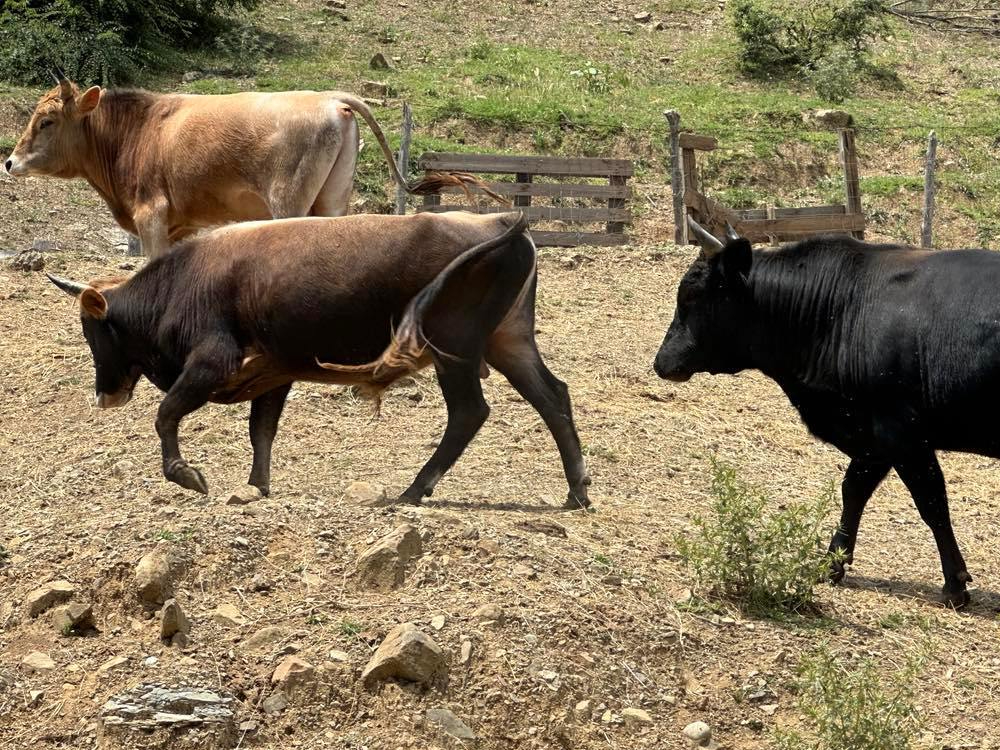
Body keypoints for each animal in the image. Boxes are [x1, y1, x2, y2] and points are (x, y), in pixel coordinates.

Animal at [4, 75, 418, 260]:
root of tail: (329, 98)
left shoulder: (151, 215)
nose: (9, 161)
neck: (137, 131)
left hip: (288, 204)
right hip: (332, 202)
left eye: (46, 121)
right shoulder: (179, 225)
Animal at [48, 212, 592, 512]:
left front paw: (186, 474)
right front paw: (257, 487)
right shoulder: (274, 371)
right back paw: (577, 491)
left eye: (94, 332)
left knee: (469, 412)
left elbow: (166, 415)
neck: (180, 284)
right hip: (509, 341)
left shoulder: (213, 362)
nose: (104, 395)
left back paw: (414, 490)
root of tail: (498, 224)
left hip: (453, 349)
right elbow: (262, 431)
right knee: (553, 396)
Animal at [652, 220, 1000, 608]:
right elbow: (854, 490)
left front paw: (955, 584)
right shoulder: (873, 437)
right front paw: (831, 564)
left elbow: (932, 503)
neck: (843, 308)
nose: (661, 361)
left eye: (691, 295)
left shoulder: (902, 431)